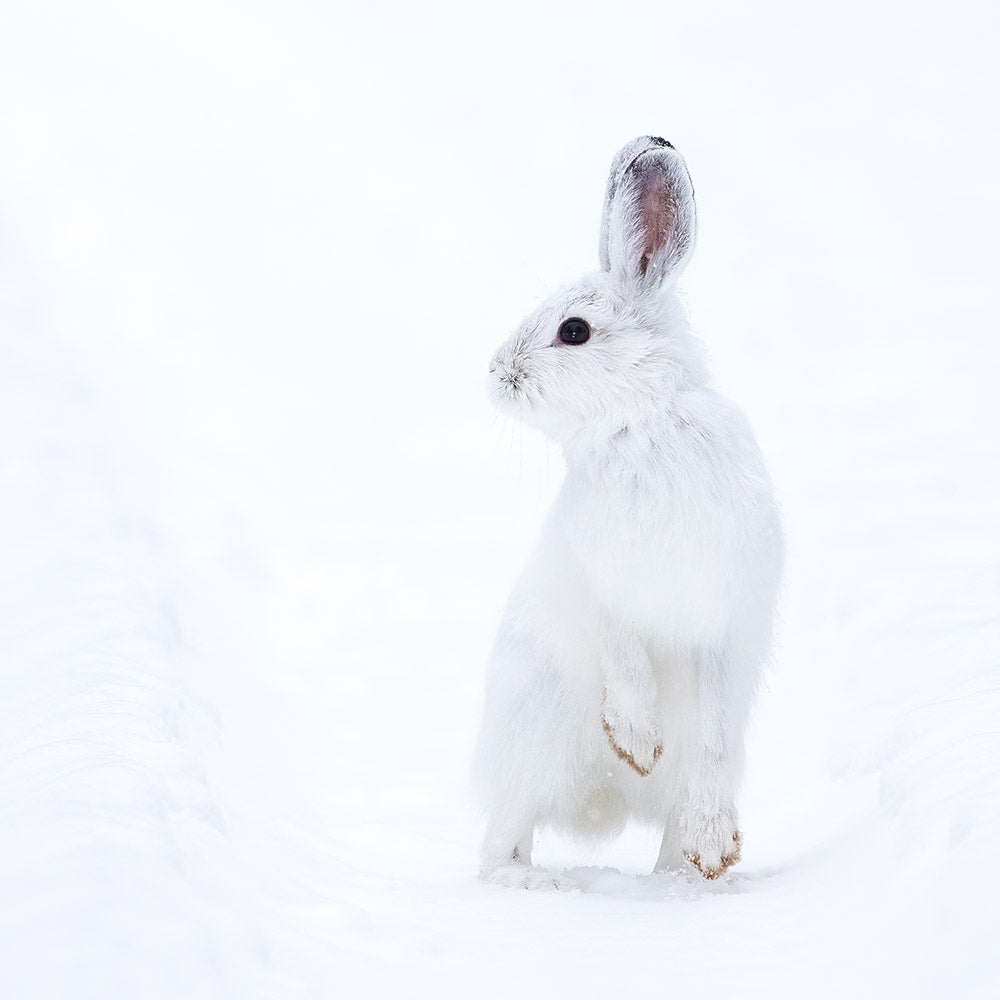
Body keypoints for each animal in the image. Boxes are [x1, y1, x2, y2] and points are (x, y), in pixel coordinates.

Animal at [475, 136, 783, 890]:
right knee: (499, 845)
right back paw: (541, 881)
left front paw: (710, 837)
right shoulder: (600, 582)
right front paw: (638, 742)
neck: (639, 424)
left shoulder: (722, 611)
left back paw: (693, 870)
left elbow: (710, 726)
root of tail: (601, 811)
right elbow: (623, 654)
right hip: (535, 733)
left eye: (574, 331)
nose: (496, 374)